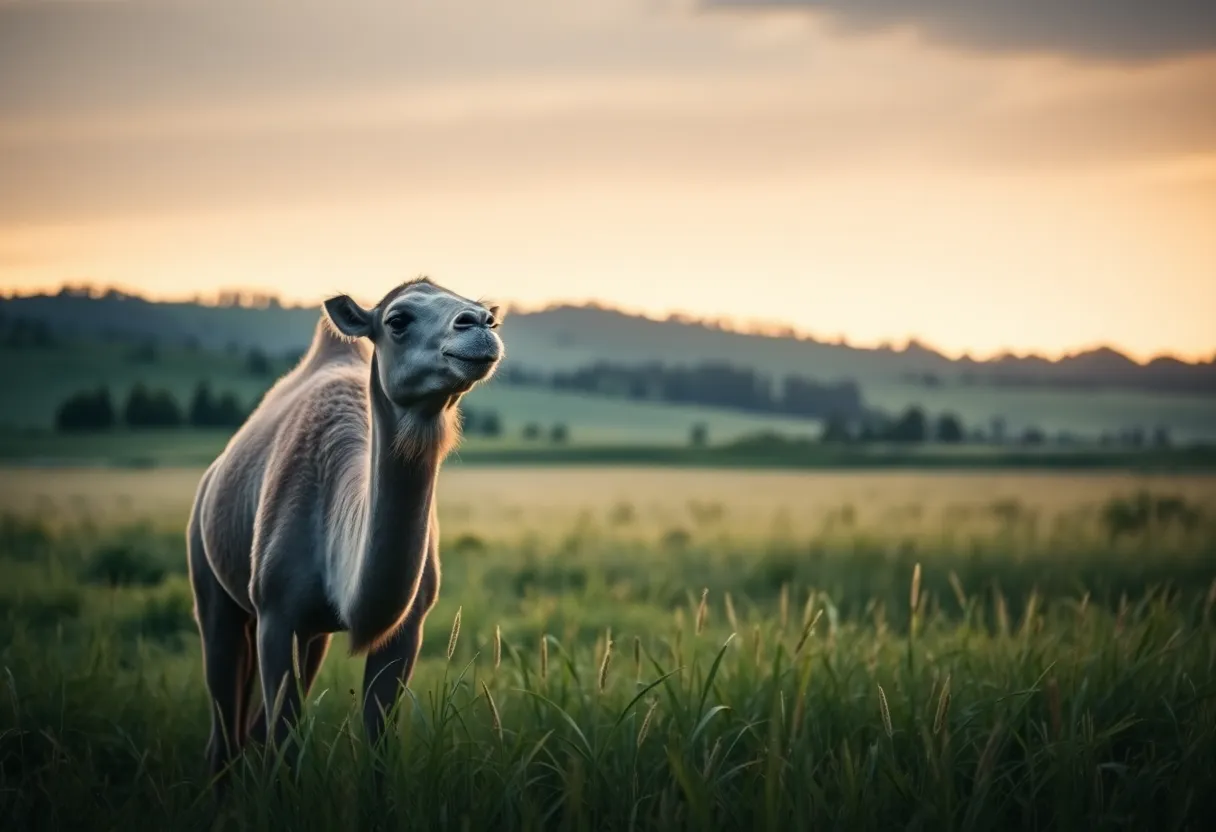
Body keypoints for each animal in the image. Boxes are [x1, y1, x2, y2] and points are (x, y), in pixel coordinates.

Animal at [186, 277, 504, 784]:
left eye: (482, 309)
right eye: (397, 320)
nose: (481, 325)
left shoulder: (405, 629)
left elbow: (377, 750)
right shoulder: (276, 616)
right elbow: (284, 748)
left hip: (312, 635)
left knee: (250, 730)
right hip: (212, 586)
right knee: (225, 736)